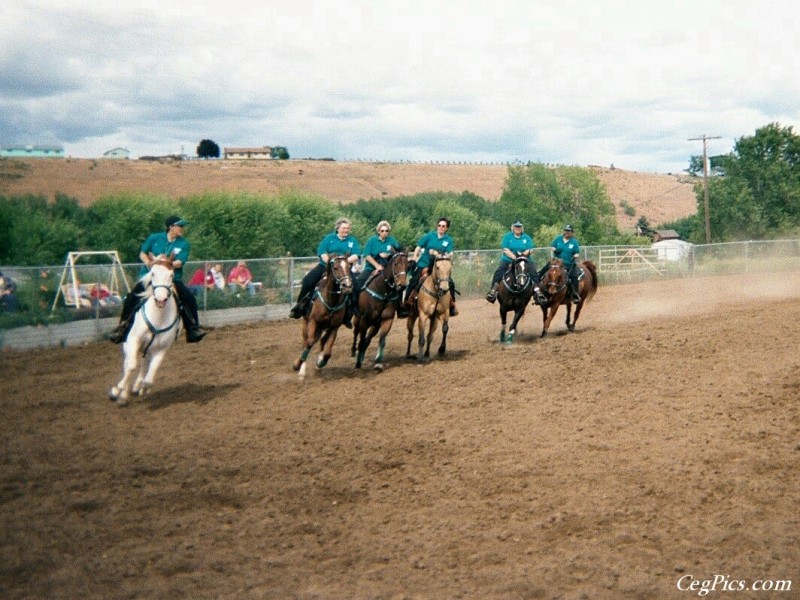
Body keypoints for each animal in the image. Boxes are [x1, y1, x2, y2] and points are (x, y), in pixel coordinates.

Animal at [110, 258, 182, 408]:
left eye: (171, 275)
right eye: (152, 273)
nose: (160, 299)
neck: (158, 318)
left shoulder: (162, 348)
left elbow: (149, 377)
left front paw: (142, 387)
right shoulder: (134, 340)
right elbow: (131, 366)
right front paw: (117, 391)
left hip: (148, 349)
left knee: (144, 364)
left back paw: (137, 387)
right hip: (129, 345)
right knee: (128, 363)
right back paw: (124, 394)